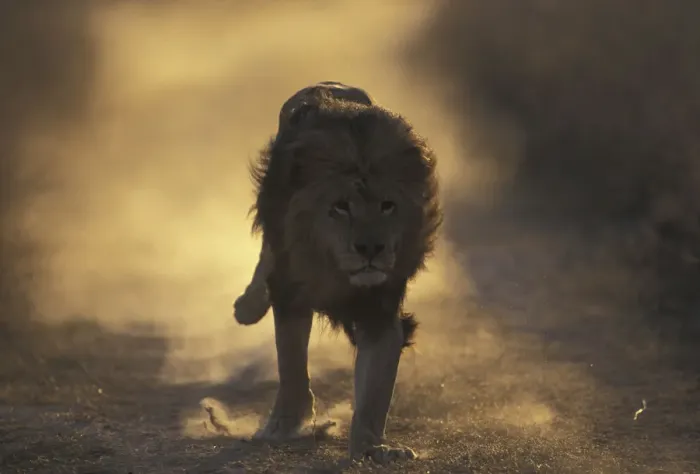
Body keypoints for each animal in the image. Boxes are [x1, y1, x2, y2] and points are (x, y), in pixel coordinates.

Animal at [233, 81, 441, 463]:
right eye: (340, 207)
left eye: (388, 206)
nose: (371, 249)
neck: (337, 271)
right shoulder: (293, 292)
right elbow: (291, 365)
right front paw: (284, 426)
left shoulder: (381, 312)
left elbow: (374, 391)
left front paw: (373, 447)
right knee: (266, 257)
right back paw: (247, 306)